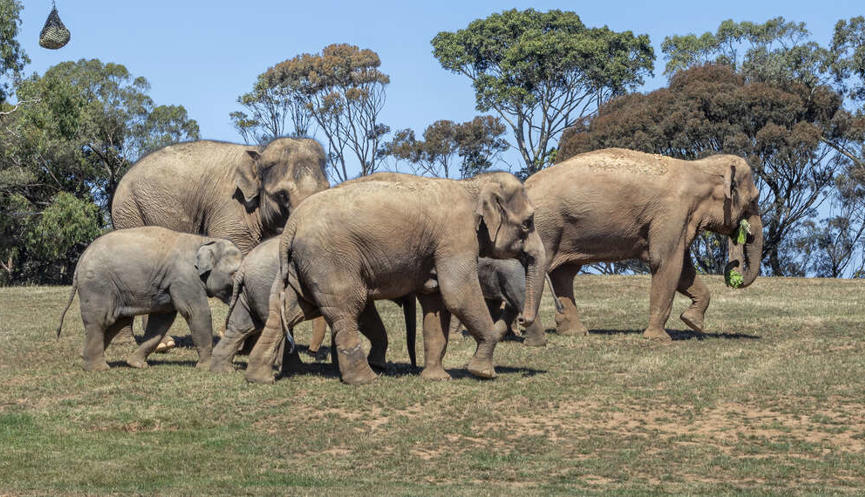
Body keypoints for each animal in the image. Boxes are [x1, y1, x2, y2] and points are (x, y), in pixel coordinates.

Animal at [56, 227, 242, 371]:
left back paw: (84, 356)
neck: (204, 240)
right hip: (97, 284)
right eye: (234, 273)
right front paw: (207, 366)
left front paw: (136, 364)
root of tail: (81, 259)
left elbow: (162, 321)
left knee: (117, 321)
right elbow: (196, 312)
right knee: (100, 320)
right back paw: (98, 368)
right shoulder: (184, 278)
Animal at [111, 137, 329, 351]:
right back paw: (142, 344)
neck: (259, 153)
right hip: (129, 212)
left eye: (327, 190)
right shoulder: (231, 208)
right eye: (282, 195)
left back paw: (162, 343)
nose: (312, 350)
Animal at [209, 237, 418, 373]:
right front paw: (377, 366)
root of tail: (244, 267)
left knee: (242, 326)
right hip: (264, 289)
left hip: (248, 293)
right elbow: (367, 318)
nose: (414, 367)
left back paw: (223, 369)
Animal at [244, 171, 547, 385]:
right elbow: (457, 294)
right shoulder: (455, 237)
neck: (473, 184)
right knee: (346, 308)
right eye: (528, 223)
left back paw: (259, 377)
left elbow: (436, 303)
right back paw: (365, 380)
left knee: (290, 309)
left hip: (303, 265)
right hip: (329, 261)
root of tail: (291, 225)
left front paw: (436, 378)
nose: (522, 320)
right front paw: (483, 373)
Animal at [521, 148, 763, 345]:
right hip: (544, 225)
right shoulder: (671, 211)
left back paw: (575, 333)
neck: (698, 167)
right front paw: (658, 338)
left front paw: (692, 322)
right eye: (753, 199)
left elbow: (684, 269)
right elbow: (666, 262)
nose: (734, 268)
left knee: (564, 273)